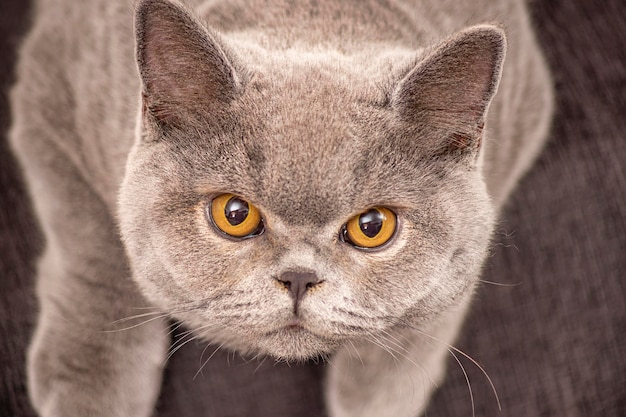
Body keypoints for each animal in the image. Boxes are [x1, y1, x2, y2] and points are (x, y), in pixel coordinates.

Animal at [9, 0, 552, 414]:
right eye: (234, 214)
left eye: (373, 226)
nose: (298, 277)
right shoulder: (48, 97)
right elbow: (97, 250)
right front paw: (89, 395)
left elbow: (426, 313)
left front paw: (375, 393)